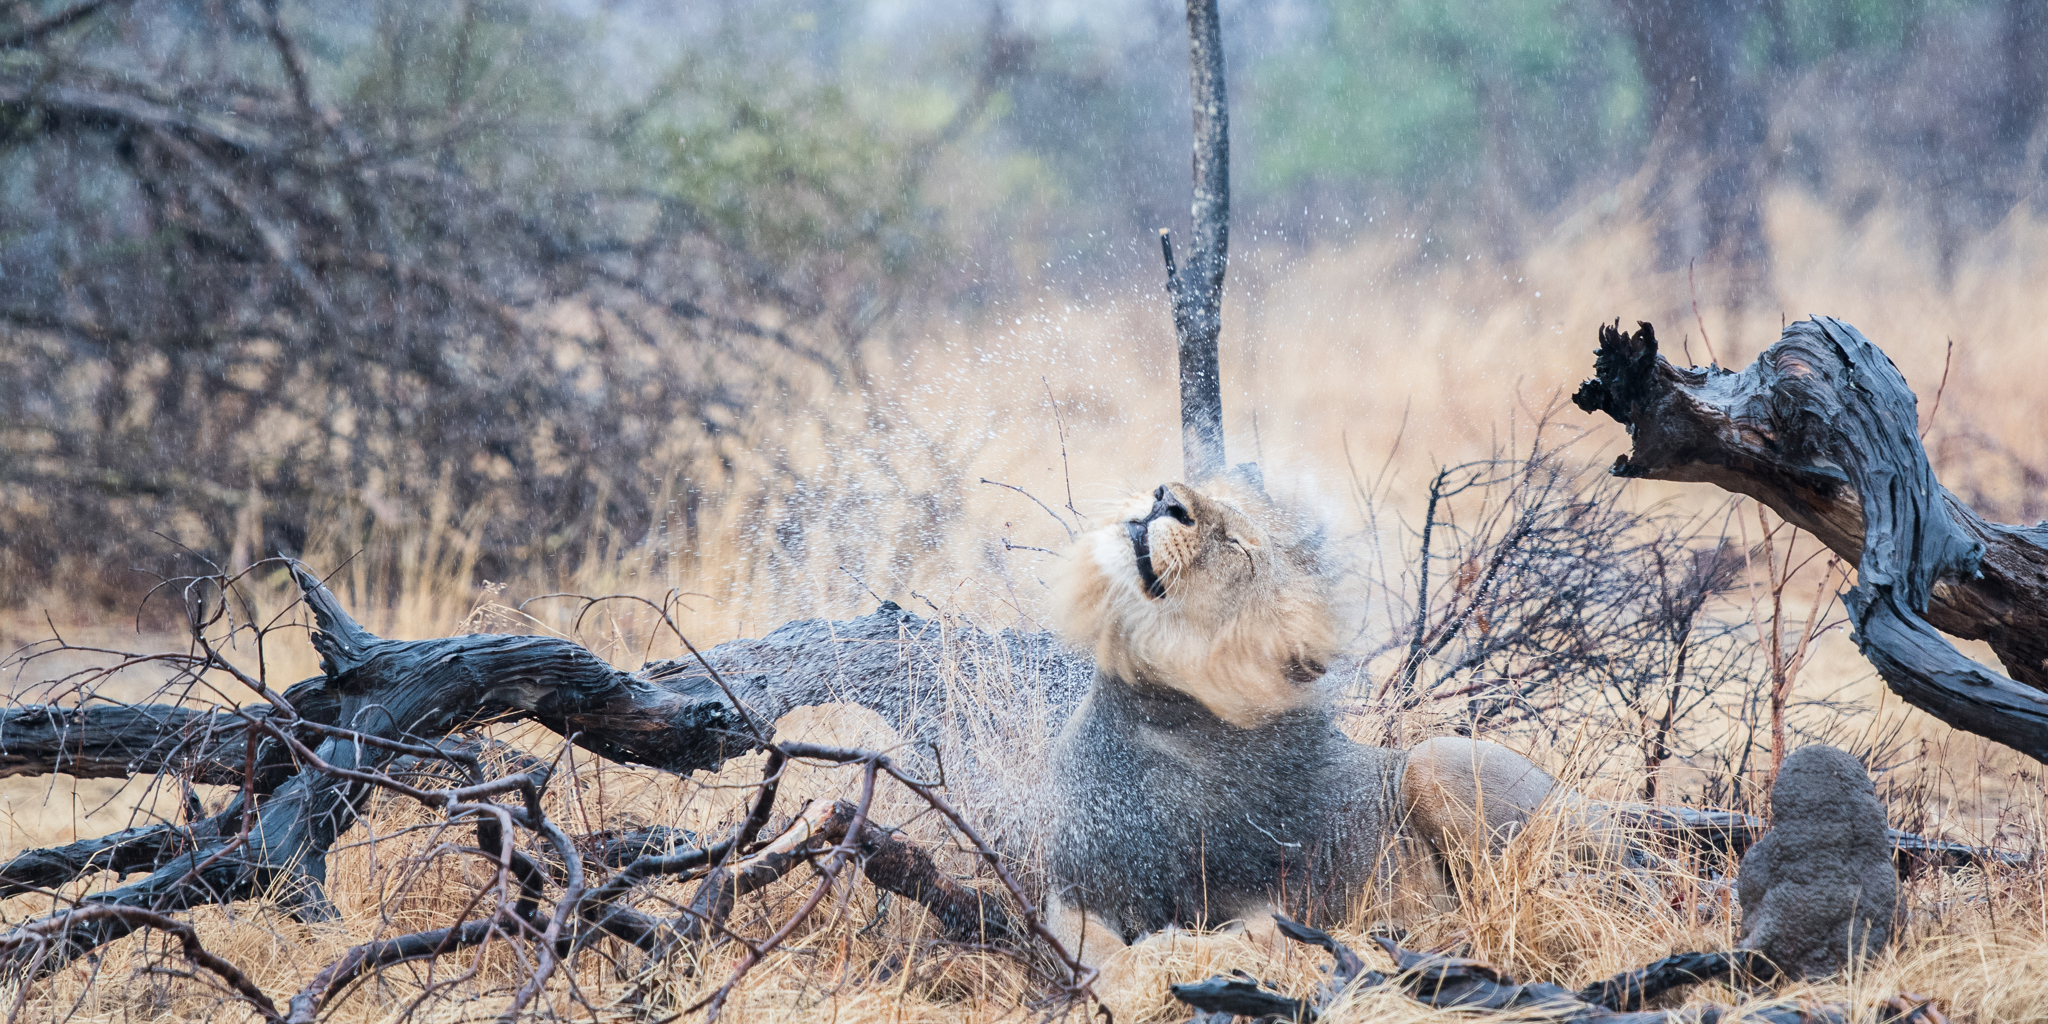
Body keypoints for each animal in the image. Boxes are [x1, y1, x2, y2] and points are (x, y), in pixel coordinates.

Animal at [1044, 475, 1580, 967]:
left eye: (1238, 546)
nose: (1165, 498)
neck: (1152, 722)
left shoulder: (1284, 901)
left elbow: (1217, 948)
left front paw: (1162, 952)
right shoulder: (1072, 891)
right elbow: (1098, 953)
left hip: (1432, 761)